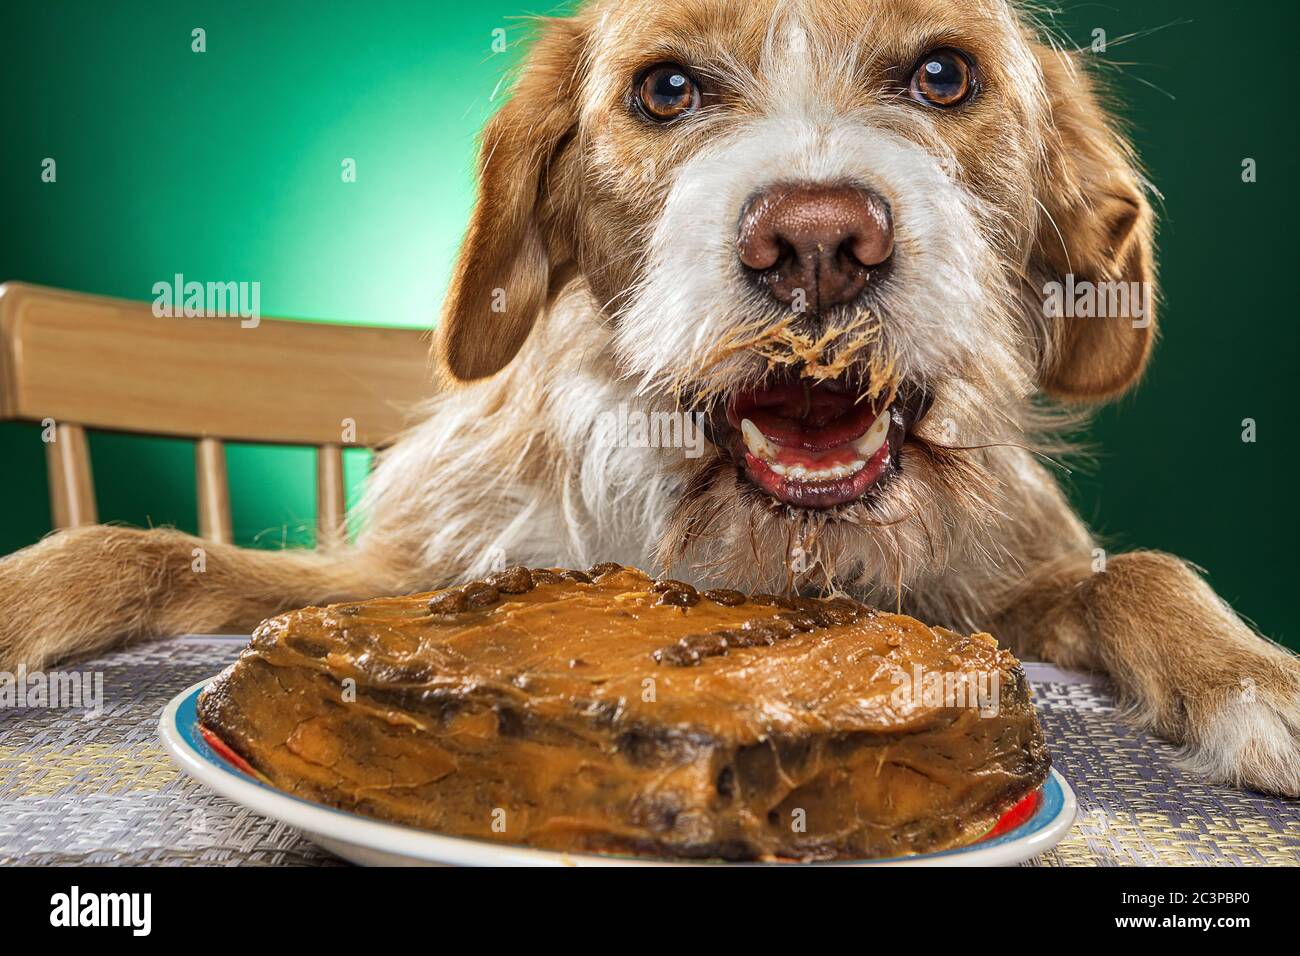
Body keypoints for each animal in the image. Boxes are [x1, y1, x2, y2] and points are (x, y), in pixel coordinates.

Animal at [2, 0, 1300, 796]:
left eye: (943, 74)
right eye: (666, 88)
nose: (817, 241)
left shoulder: (992, 589)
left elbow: (1136, 571)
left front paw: (1254, 677)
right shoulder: (394, 577)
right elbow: (146, 548)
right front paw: (22, 601)